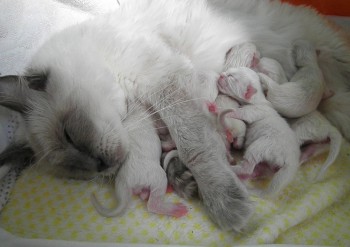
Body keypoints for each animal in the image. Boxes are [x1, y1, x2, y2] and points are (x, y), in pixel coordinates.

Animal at [217, 66, 300, 196]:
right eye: (229, 70)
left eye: (231, 77)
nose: (220, 75)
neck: (258, 99)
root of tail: (292, 161)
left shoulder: (255, 110)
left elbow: (241, 112)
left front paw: (223, 110)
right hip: (270, 164)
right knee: (258, 170)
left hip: (263, 146)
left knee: (247, 168)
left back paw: (232, 168)